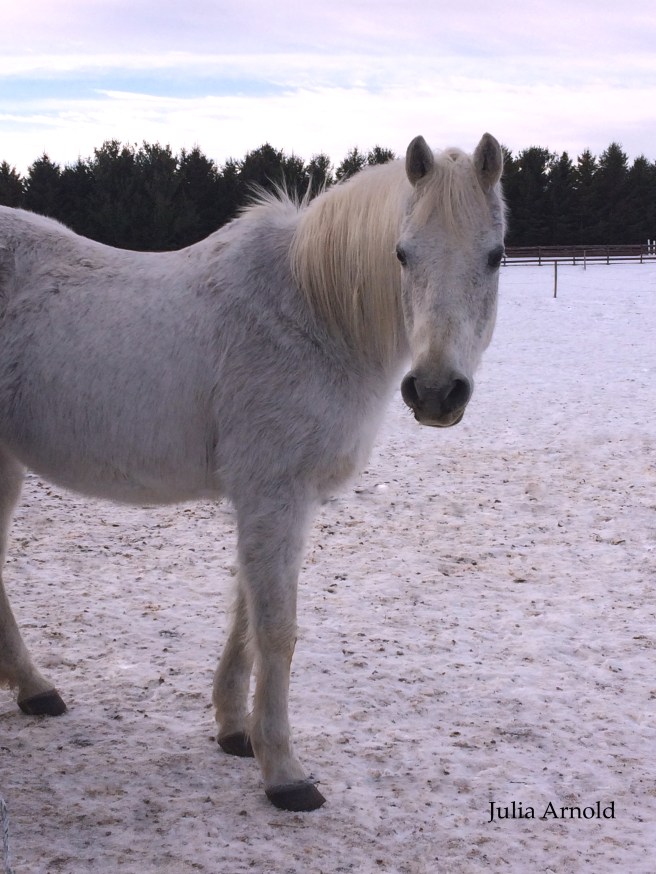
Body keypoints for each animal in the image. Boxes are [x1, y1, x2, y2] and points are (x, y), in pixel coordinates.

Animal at [0, 133, 505, 812]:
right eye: (402, 254)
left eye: (495, 257)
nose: (434, 393)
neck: (311, 315)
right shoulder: (272, 495)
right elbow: (276, 630)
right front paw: (285, 773)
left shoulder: (278, 501)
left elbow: (244, 613)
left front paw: (234, 730)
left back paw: (35, 690)